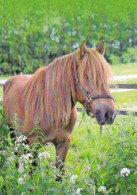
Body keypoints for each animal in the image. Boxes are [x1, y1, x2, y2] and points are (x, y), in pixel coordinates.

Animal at [3, 40, 116, 179]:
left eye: (105, 78)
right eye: (87, 77)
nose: (110, 114)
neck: (51, 109)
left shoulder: (63, 143)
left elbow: (59, 176)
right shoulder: (34, 144)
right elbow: (33, 175)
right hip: (13, 133)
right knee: (17, 155)